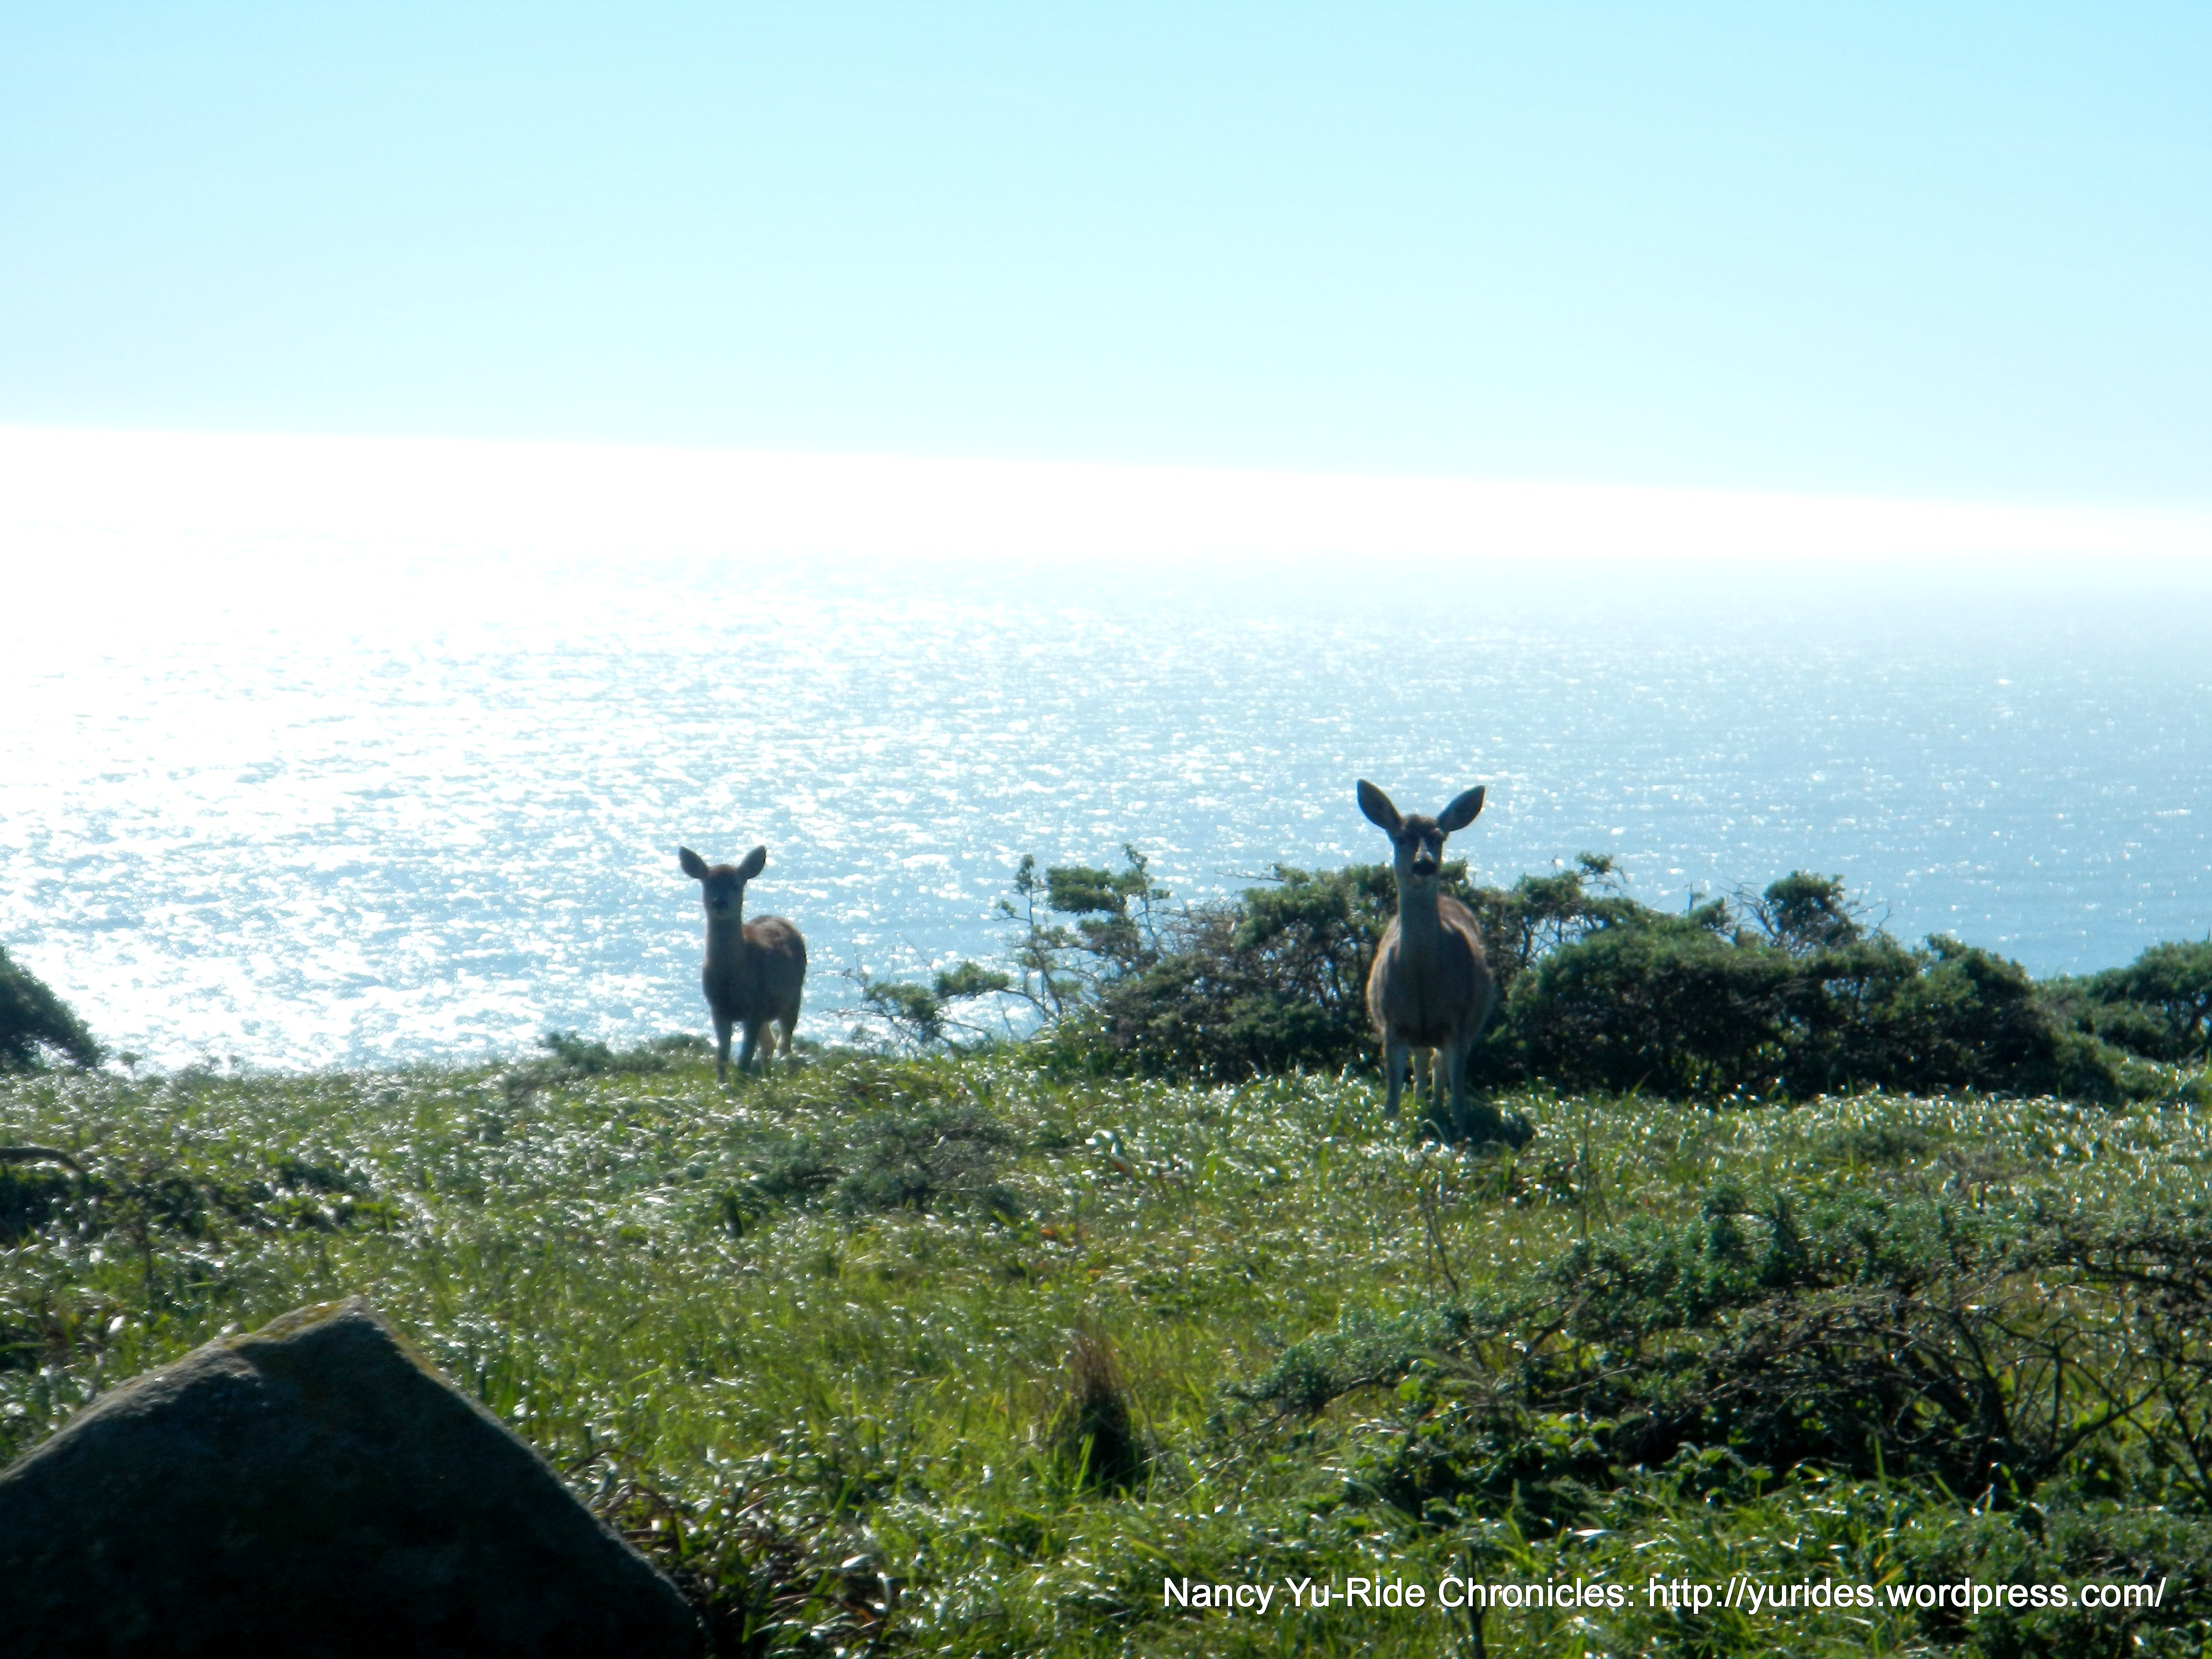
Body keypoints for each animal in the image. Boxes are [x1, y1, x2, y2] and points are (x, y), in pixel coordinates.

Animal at [678, 845, 808, 1083]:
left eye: (736, 884)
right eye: (708, 883)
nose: (720, 903)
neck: (732, 974)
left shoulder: (755, 1007)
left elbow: (745, 1057)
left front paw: (739, 1083)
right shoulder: (718, 1007)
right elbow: (722, 1053)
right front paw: (722, 1083)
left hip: (793, 996)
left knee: (785, 1044)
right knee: (769, 1045)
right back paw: (767, 1077)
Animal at [1357, 779, 1504, 1141]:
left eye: (1440, 838)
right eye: (1400, 838)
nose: (1424, 864)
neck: (1423, 978)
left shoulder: (1460, 1021)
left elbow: (1459, 1090)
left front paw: (1462, 1130)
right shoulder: (1392, 1023)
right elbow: (1391, 1095)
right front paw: (1391, 1128)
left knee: (1436, 1064)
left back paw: (1435, 1106)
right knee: (1423, 1061)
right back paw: (1423, 1103)